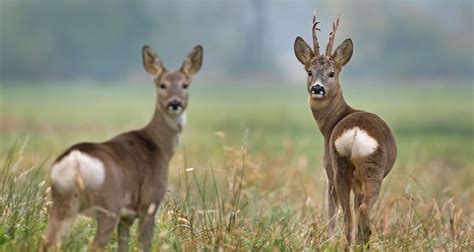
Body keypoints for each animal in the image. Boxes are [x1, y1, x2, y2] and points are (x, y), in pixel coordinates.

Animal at [40, 44, 202, 251]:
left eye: (185, 85)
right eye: (162, 85)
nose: (175, 103)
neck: (159, 146)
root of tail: (75, 160)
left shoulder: (126, 216)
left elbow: (123, 245)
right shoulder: (149, 201)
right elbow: (144, 245)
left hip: (62, 199)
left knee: (47, 240)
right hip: (109, 204)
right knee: (94, 245)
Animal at [292, 11, 396, 244]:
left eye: (331, 73)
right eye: (309, 71)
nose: (317, 88)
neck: (331, 123)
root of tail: (355, 133)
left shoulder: (330, 169)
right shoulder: (330, 170)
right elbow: (336, 212)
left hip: (346, 169)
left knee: (351, 214)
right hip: (364, 170)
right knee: (357, 213)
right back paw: (359, 242)